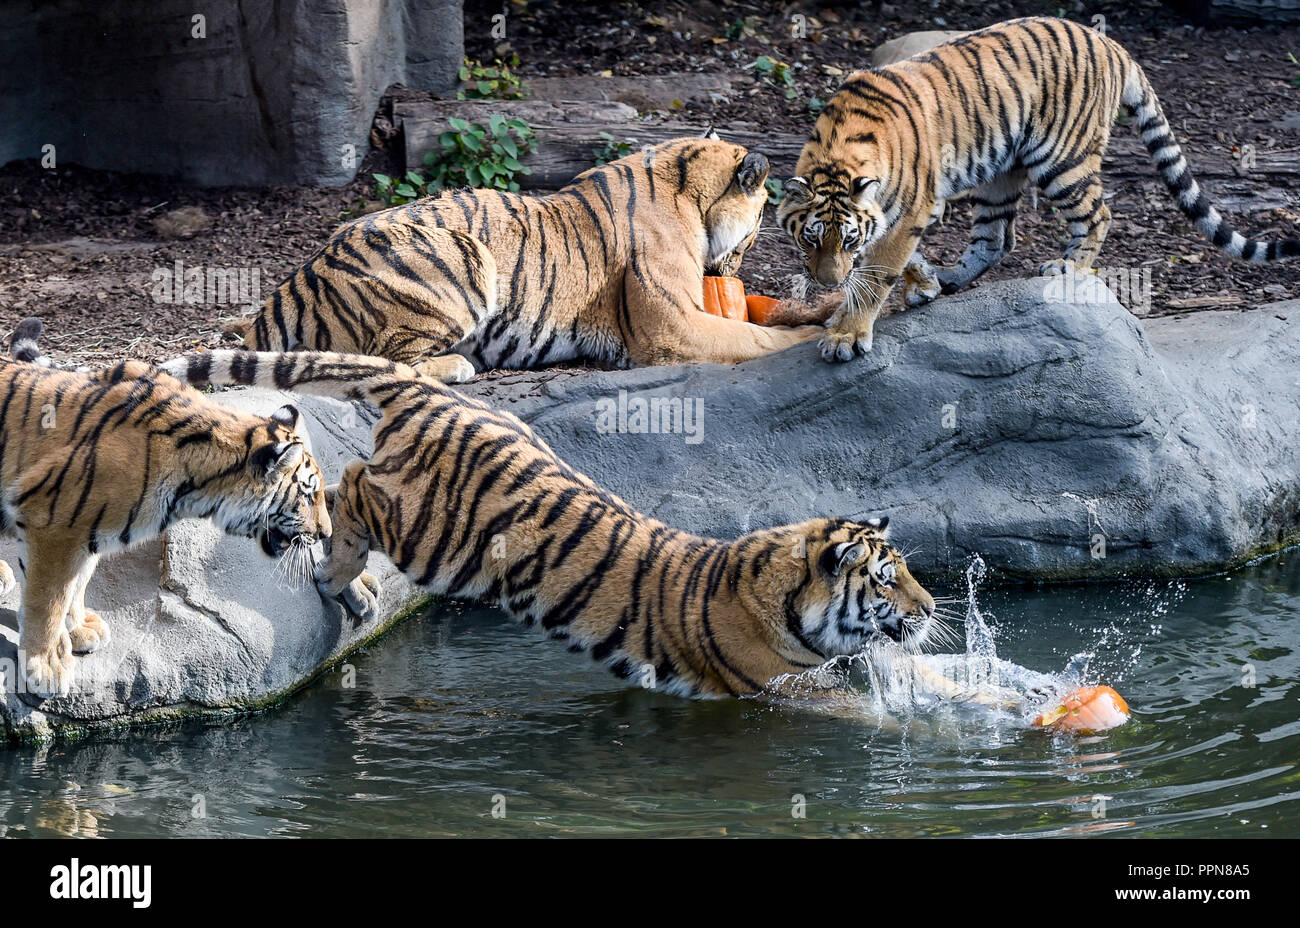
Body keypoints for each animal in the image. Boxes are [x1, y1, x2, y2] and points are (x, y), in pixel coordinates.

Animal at [2, 318, 335, 696]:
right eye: (308, 495)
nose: (326, 532)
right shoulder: (53, 522)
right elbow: (48, 599)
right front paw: (46, 667)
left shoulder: (83, 531)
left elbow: (77, 582)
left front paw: (79, 630)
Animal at [162, 350, 941, 696]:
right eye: (886, 579)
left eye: (907, 571)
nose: (933, 608)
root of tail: (430, 390)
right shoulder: (768, 693)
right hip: (433, 536)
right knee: (350, 486)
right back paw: (339, 573)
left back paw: (347, 586)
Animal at [226, 132, 832, 376]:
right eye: (757, 231)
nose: (737, 267)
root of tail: (300, 277)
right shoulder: (674, 327)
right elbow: (753, 337)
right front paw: (812, 336)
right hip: (463, 256)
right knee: (388, 360)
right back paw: (460, 366)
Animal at [780, 17, 1300, 361]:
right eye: (810, 238)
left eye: (849, 240)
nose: (827, 284)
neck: (836, 151)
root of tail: (1113, 43)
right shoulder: (903, 215)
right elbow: (902, 260)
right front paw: (924, 282)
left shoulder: (908, 211)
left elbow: (877, 276)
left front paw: (846, 335)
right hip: (999, 172)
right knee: (997, 238)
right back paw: (951, 279)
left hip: (1061, 160)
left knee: (1099, 214)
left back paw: (1067, 266)